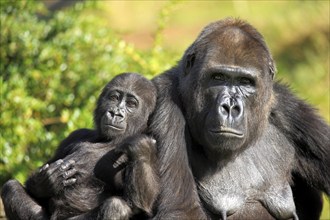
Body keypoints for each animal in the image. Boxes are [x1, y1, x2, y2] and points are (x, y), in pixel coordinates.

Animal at [1, 72, 159, 220]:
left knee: (116, 207)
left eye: (131, 104)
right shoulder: (75, 135)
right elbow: (34, 186)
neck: (106, 139)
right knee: (10, 187)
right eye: (114, 97)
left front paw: (140, 147)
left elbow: (141, 205)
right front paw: (46, 182)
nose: (115, 113)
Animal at [150, 18, 330, 219]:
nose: (230, 108)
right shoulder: (165, 102)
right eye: (218, 77)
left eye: (245, 82)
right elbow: (182, 210)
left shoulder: (291, 110)